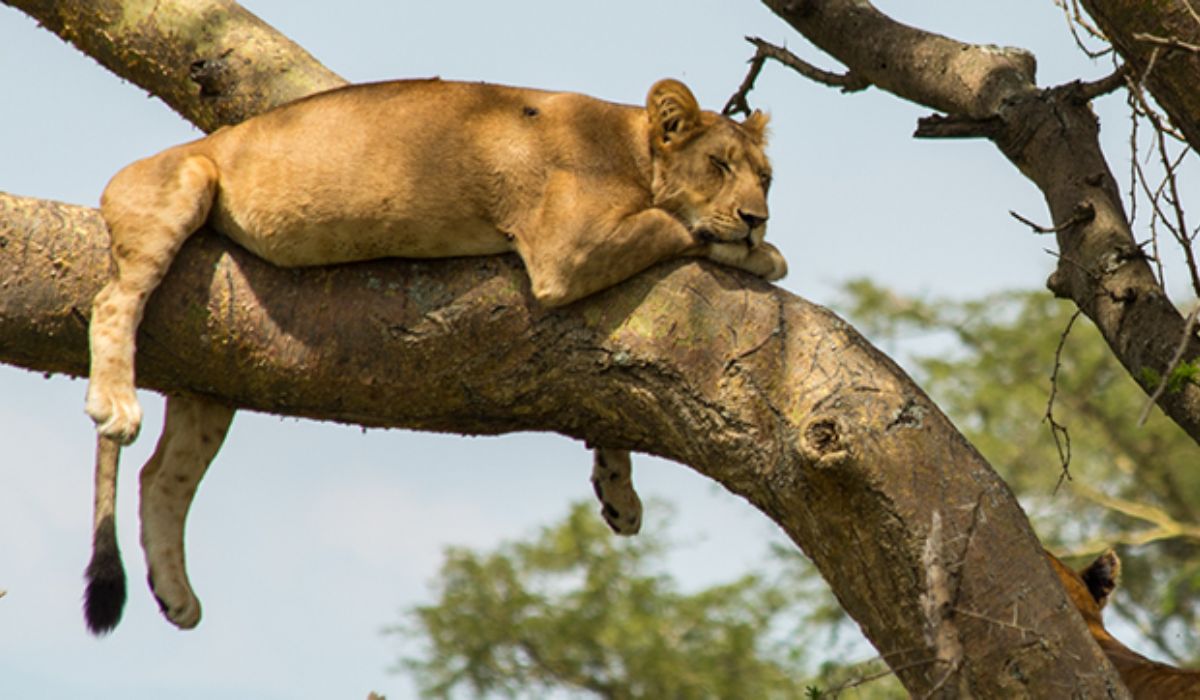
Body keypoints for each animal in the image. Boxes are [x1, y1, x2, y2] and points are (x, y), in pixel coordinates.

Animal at [82, 78, 787, 633]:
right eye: (719, 165)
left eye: (766, 177)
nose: (759, 217)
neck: (632, 149)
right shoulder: (567, 252)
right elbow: (675, 226)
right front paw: (758, 252)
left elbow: (608, 405)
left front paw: (618, 492)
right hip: (183, 186)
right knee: (113, 300)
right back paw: (114, 402)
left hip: (212, 370)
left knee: (162, 476)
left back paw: (176, 596)